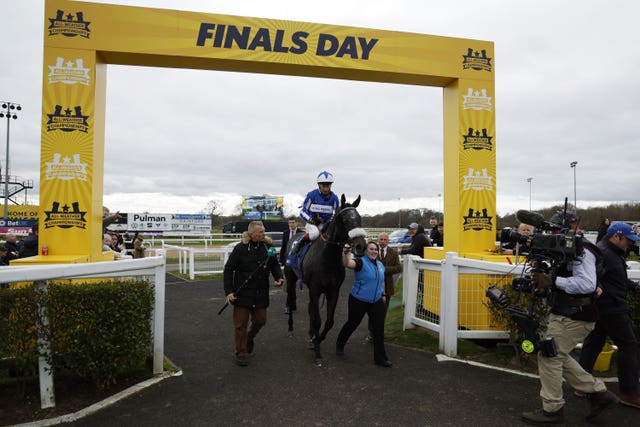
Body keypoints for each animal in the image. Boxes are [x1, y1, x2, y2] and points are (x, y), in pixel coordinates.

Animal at [284, 196, 368, 366]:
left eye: (359, 218)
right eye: (345, 219)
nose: (361, 246)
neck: (327, 258)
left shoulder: (333, 290)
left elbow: (329, 321)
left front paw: (317, 339)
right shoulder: (315, 289)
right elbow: (318, 320)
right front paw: (317, 352)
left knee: (310, 308)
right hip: (291, 279)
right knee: (290, 300)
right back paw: (290, 328)